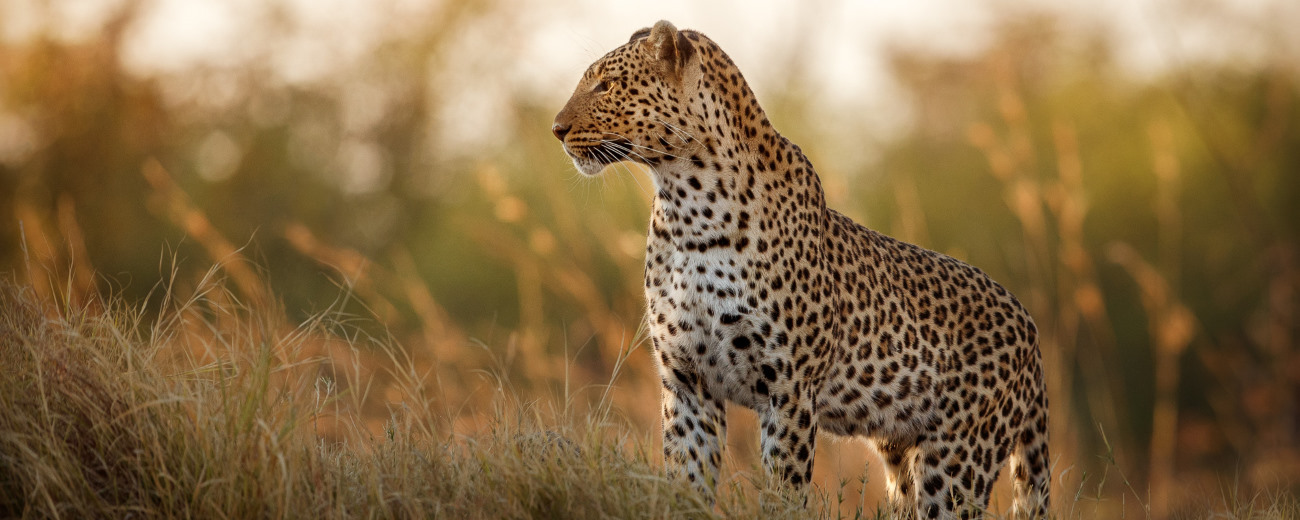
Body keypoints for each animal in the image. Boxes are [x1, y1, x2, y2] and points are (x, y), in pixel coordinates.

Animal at [553, 21, 1050, 520]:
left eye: (606, 85)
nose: (557, 129)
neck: (688, 207)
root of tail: (1030, 327)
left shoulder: (788, 389)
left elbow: (783, 489)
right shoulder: (687, 381)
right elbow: (687, 481)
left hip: (957, 461)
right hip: (902, 451)